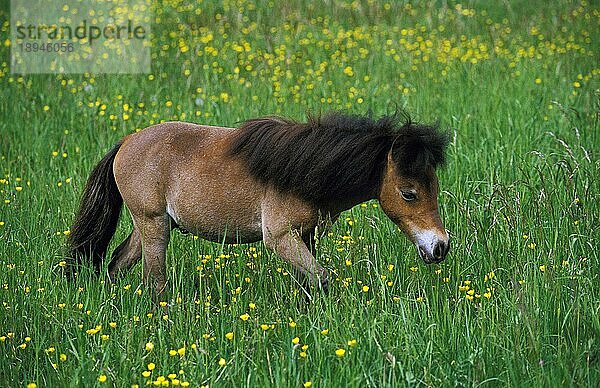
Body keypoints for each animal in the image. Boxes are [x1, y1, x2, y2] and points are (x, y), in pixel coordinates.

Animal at [68, 111, 450, 298]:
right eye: (409, 193)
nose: (440, 247)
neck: (303, 170)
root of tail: (126, 142)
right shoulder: (279, 237)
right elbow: (323, 279)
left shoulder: (304, 236)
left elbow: (310, 282)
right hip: (153, 226)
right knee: (155, 282)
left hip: (147, 227)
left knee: (117, 265)